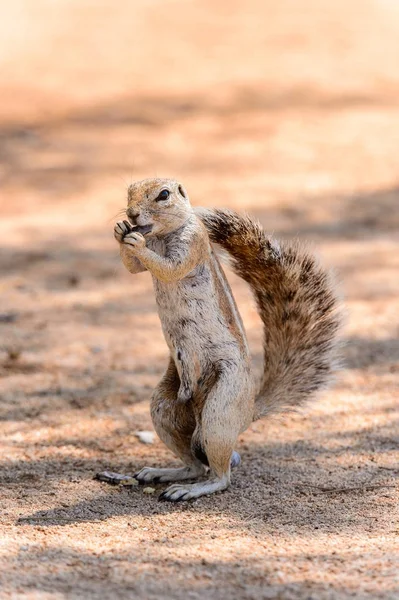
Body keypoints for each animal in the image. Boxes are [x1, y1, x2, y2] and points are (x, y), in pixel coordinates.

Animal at [99, 178, 340, 502]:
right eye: (129, 191)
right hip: (165, 408)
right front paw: (119, 231)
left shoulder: (193, 244)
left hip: (220, 408)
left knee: (220, 476)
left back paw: (191, 490)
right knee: (193, 464)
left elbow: (170, 267)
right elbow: (134, 267)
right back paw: (163, 473)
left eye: (164, 195)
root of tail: (247, 412)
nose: (133, 214)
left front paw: (134, 241)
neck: (159, 236)